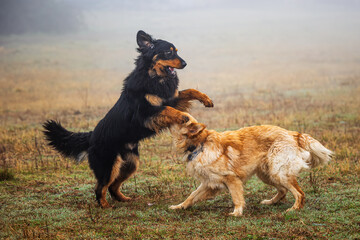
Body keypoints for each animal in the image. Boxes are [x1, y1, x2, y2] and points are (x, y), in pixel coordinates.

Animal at [43, 30, 212, 208]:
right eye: (168, 52)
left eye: (177, 51)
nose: (185, 63)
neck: (153, 76)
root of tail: (91, 136)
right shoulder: (147, 112)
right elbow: (170, 110)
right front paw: (184, 117)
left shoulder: (171, 99)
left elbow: (190, 91)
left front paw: (206, 100)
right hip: (108, 165)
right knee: (100, 187)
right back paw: (105, 206)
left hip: (130, 163)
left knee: (113, 186)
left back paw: (125, 199)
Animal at [169, 113, 332, 217]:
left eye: (183, 118)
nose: (167, 107)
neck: (200, 144)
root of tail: (294, 134)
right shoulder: (209, 183)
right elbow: (191, 196)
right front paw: (179, 206)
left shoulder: (231, 179)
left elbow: (237, 198)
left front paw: (237, 213)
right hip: (268, 174)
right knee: (283, 190)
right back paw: (270, 202)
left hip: (278, 172)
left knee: (299, 193)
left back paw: (293, 210)